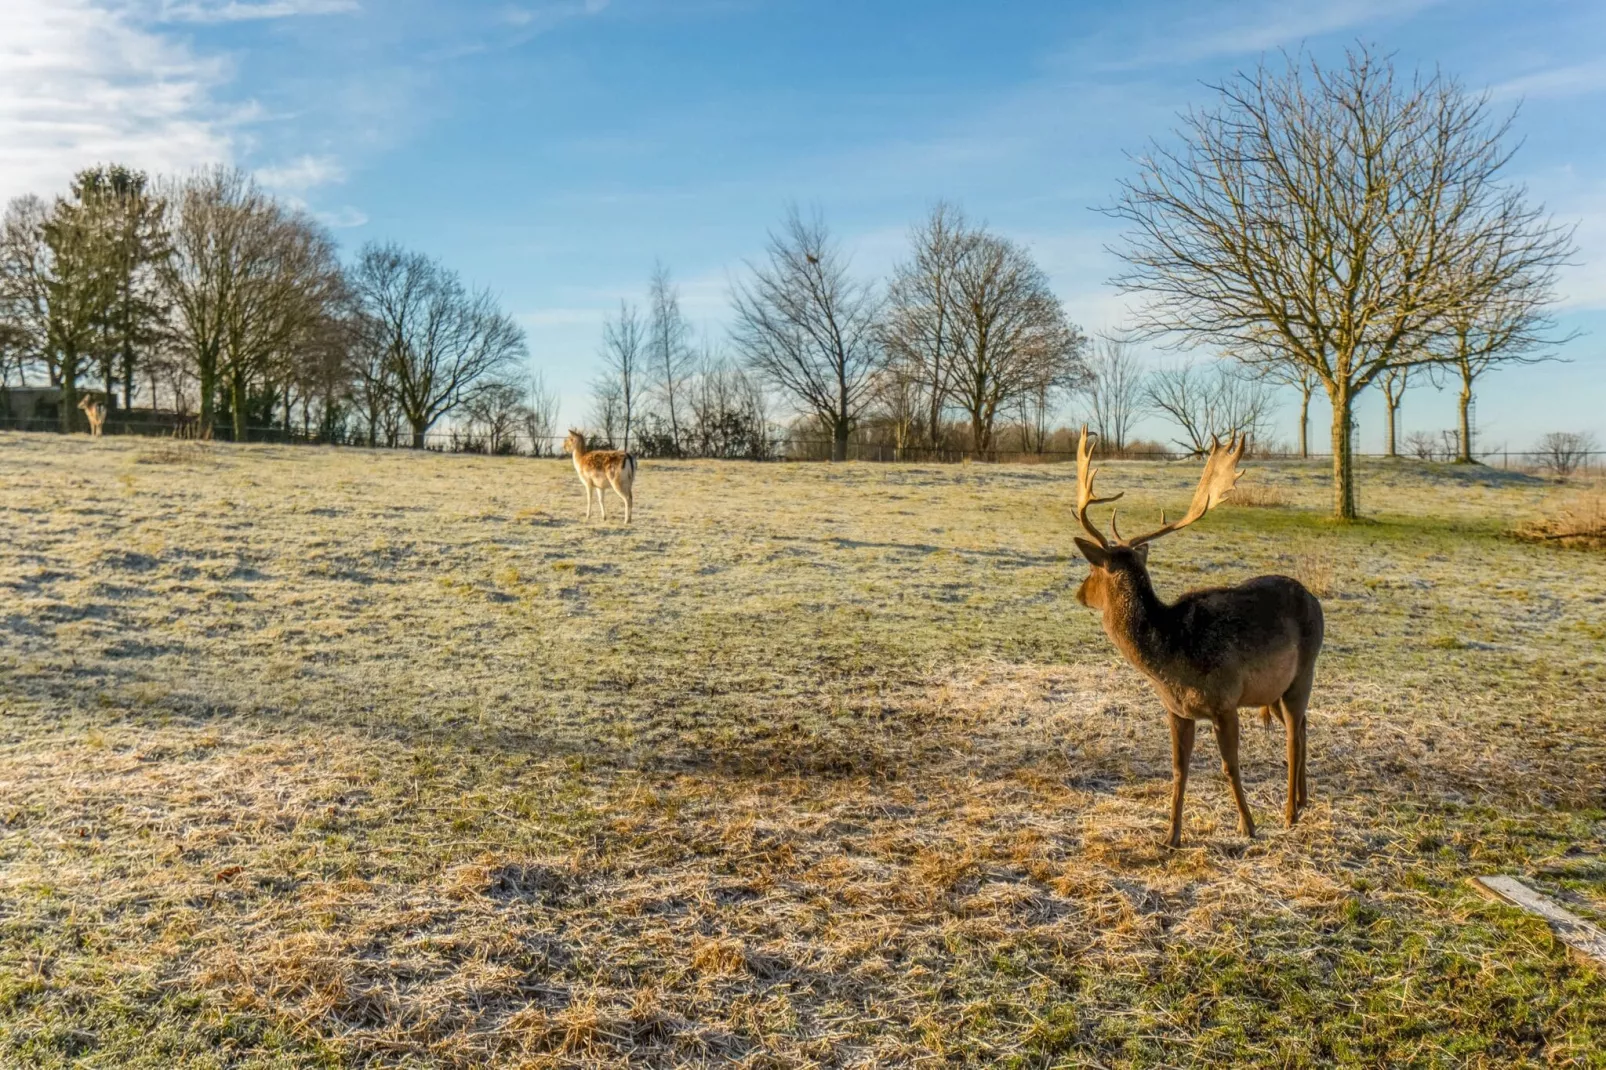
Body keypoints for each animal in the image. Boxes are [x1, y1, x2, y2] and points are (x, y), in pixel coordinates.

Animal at [1072, 424, 1323, 841]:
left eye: (1092, 569)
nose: (1079, 593)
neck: (1171, 658)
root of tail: (1316, 601)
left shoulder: (1225, 700)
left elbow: (1229, 766)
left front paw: (1248, 826)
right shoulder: (1176, 710)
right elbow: (1179, 769)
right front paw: (1171, 836)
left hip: (1305, 670)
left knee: (1292, 735)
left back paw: (1289, 812)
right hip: (1282, 687)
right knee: (1303, 726)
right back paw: (1302, 802)